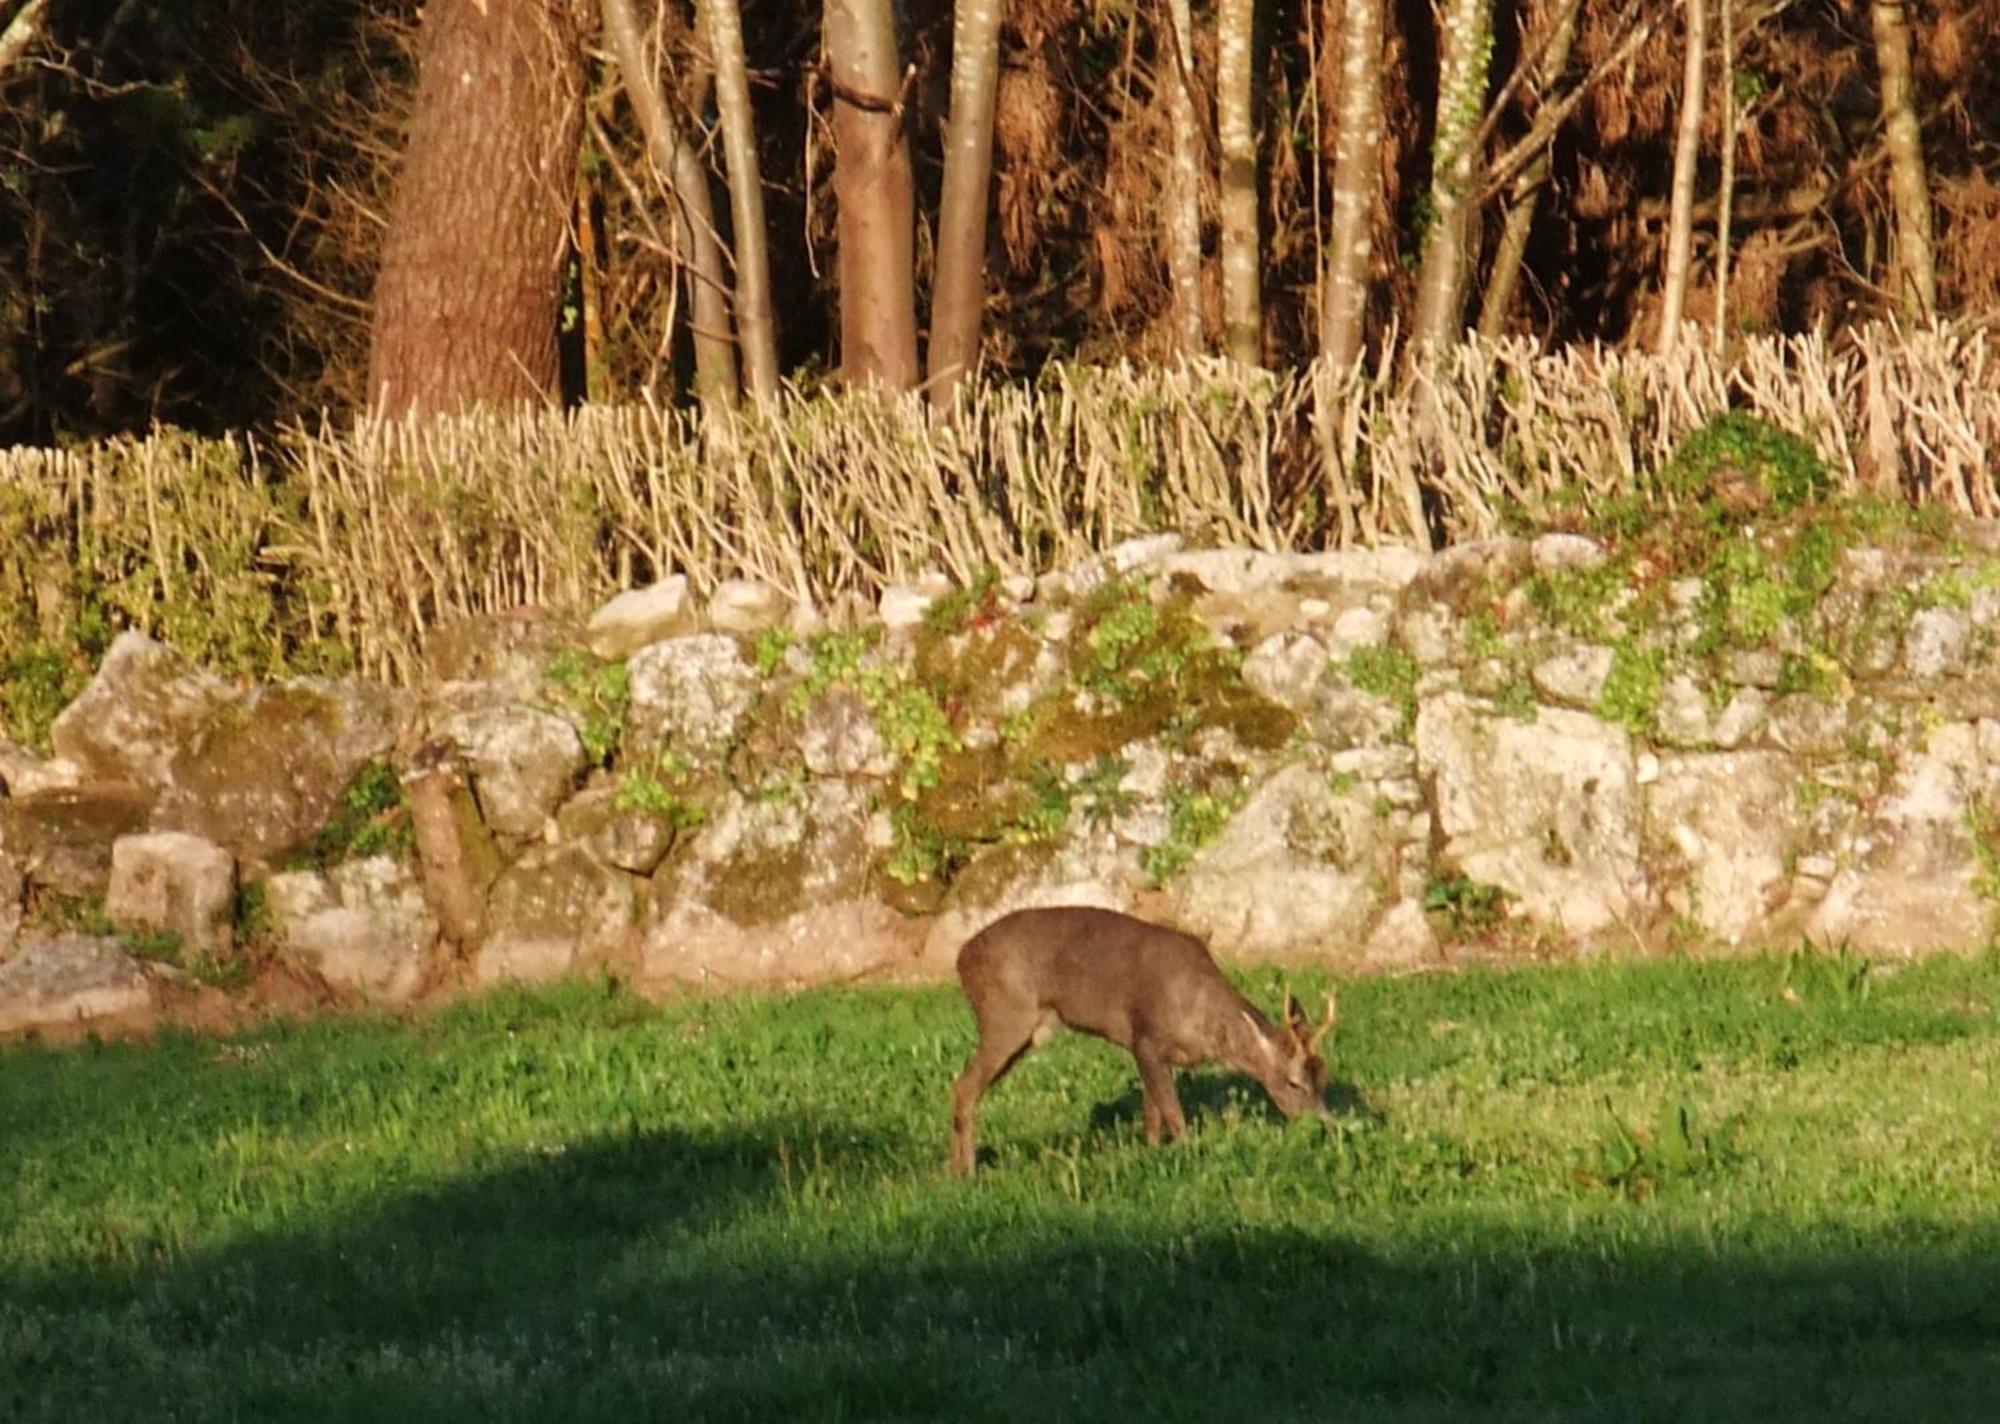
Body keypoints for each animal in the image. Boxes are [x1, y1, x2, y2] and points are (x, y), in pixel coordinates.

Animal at [948, 908, 1336, 1176]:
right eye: (1294, 1082)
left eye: (1323, 1079)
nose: (1322, 1125)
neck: (1202, 1021)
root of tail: (961, 957)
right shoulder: (1145, 1039)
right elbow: (1172, 1113)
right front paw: (1187, 1156)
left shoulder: (1157, 1054)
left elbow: (1152, 1113)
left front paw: (1151, 1154)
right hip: (1005, 1014)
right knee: (963, 1085)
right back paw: (966, 1173)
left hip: (1026, 1033)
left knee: (968, 1086)